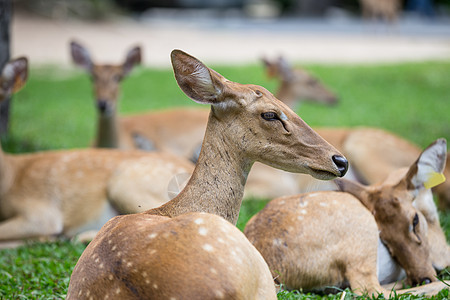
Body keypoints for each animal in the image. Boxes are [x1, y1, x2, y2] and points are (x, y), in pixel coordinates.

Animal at [244, 139, 448, 298]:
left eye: (415, 221)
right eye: (385, 239)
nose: (423, 277)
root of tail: (274, 272)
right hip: (361, 237)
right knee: (370, 290)